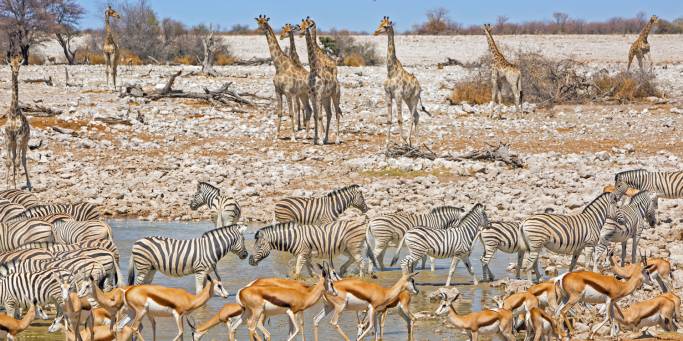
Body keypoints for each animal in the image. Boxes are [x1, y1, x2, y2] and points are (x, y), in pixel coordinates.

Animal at [374, 16, 432, 147]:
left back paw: (410, 141)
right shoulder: (388, 94)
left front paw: (401, 141)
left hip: (414, 98)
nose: (375, 32)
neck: (391, 71)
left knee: (413, 117)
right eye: (379, 24)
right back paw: (414, 141)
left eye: (386, 26)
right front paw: (387, 143)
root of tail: (420, 87)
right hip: (408, 99)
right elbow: (389, 119)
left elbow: (400, 119)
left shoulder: (398, 94)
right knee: (416, 116)